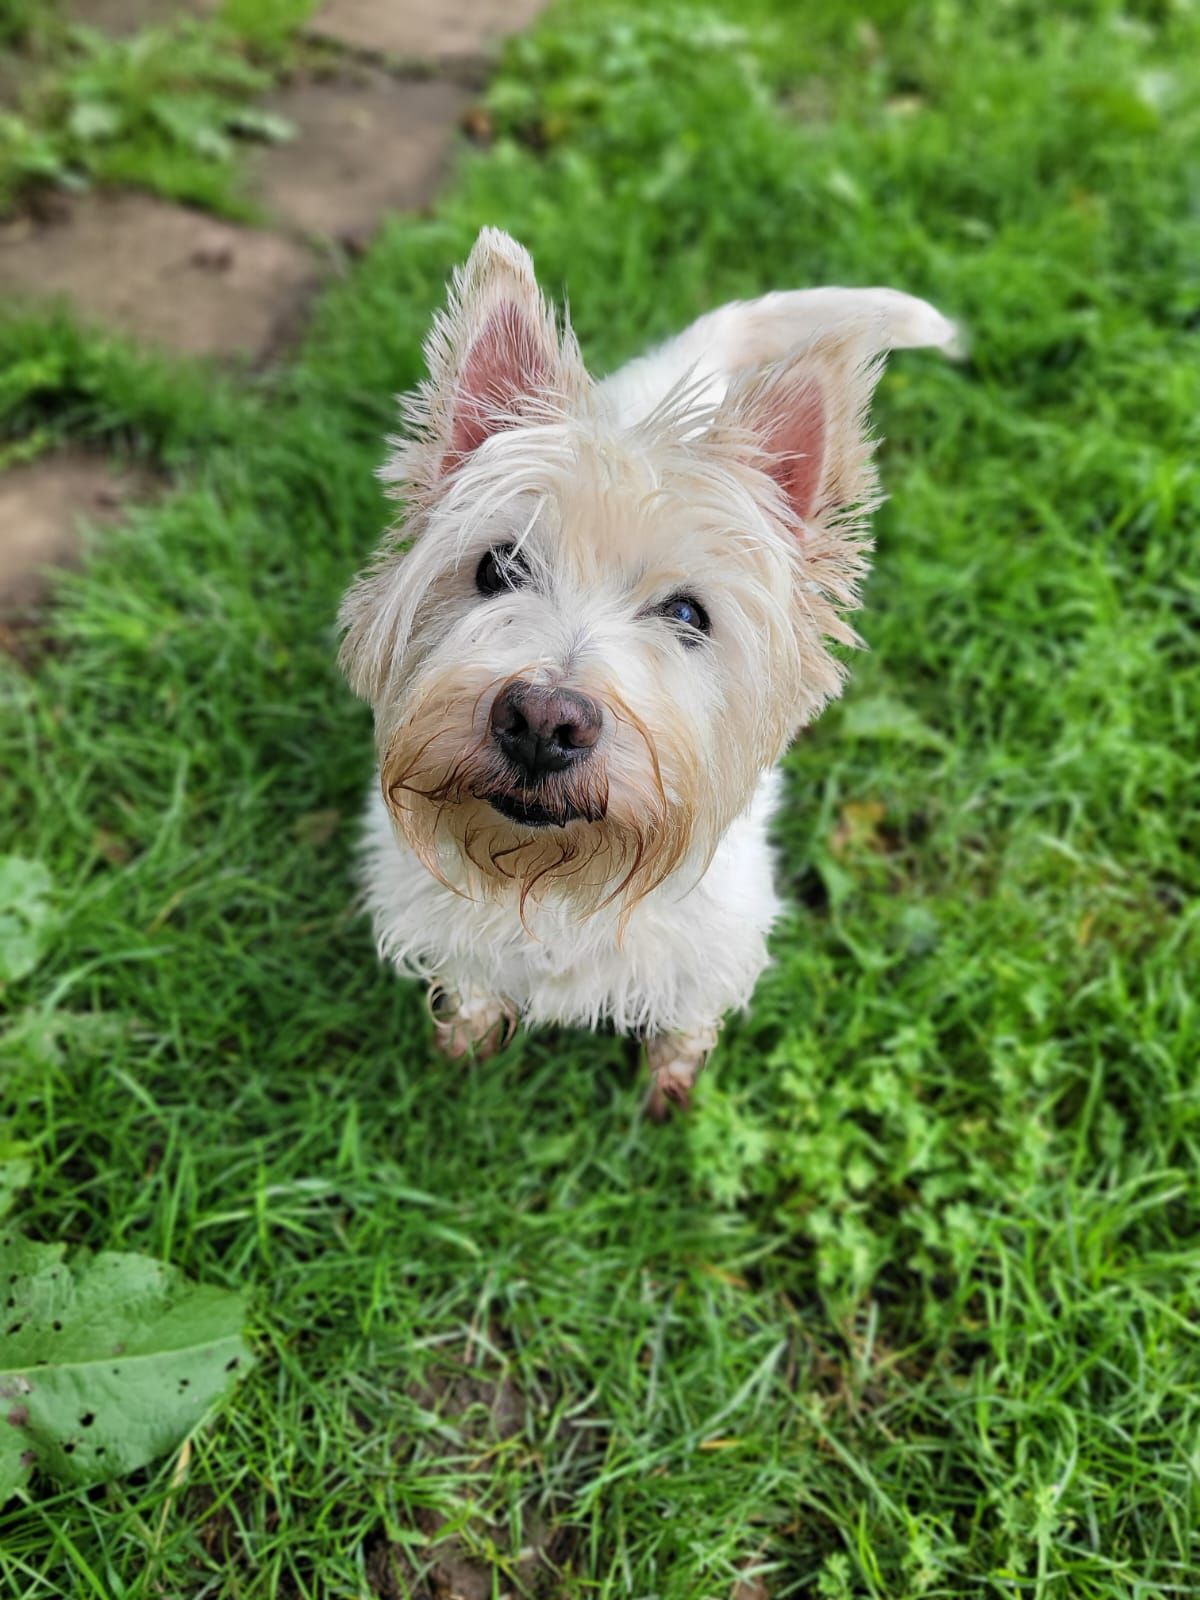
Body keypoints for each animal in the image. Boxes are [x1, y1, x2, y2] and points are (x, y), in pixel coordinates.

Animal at [339, 229, 955, 1118]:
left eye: (689, 614)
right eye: (498, 566)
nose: (542, 721)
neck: (561, 881)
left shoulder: (712, 949)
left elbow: (685, 1023)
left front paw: (670, 1088)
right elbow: (474, 988)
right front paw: (464, 1046)